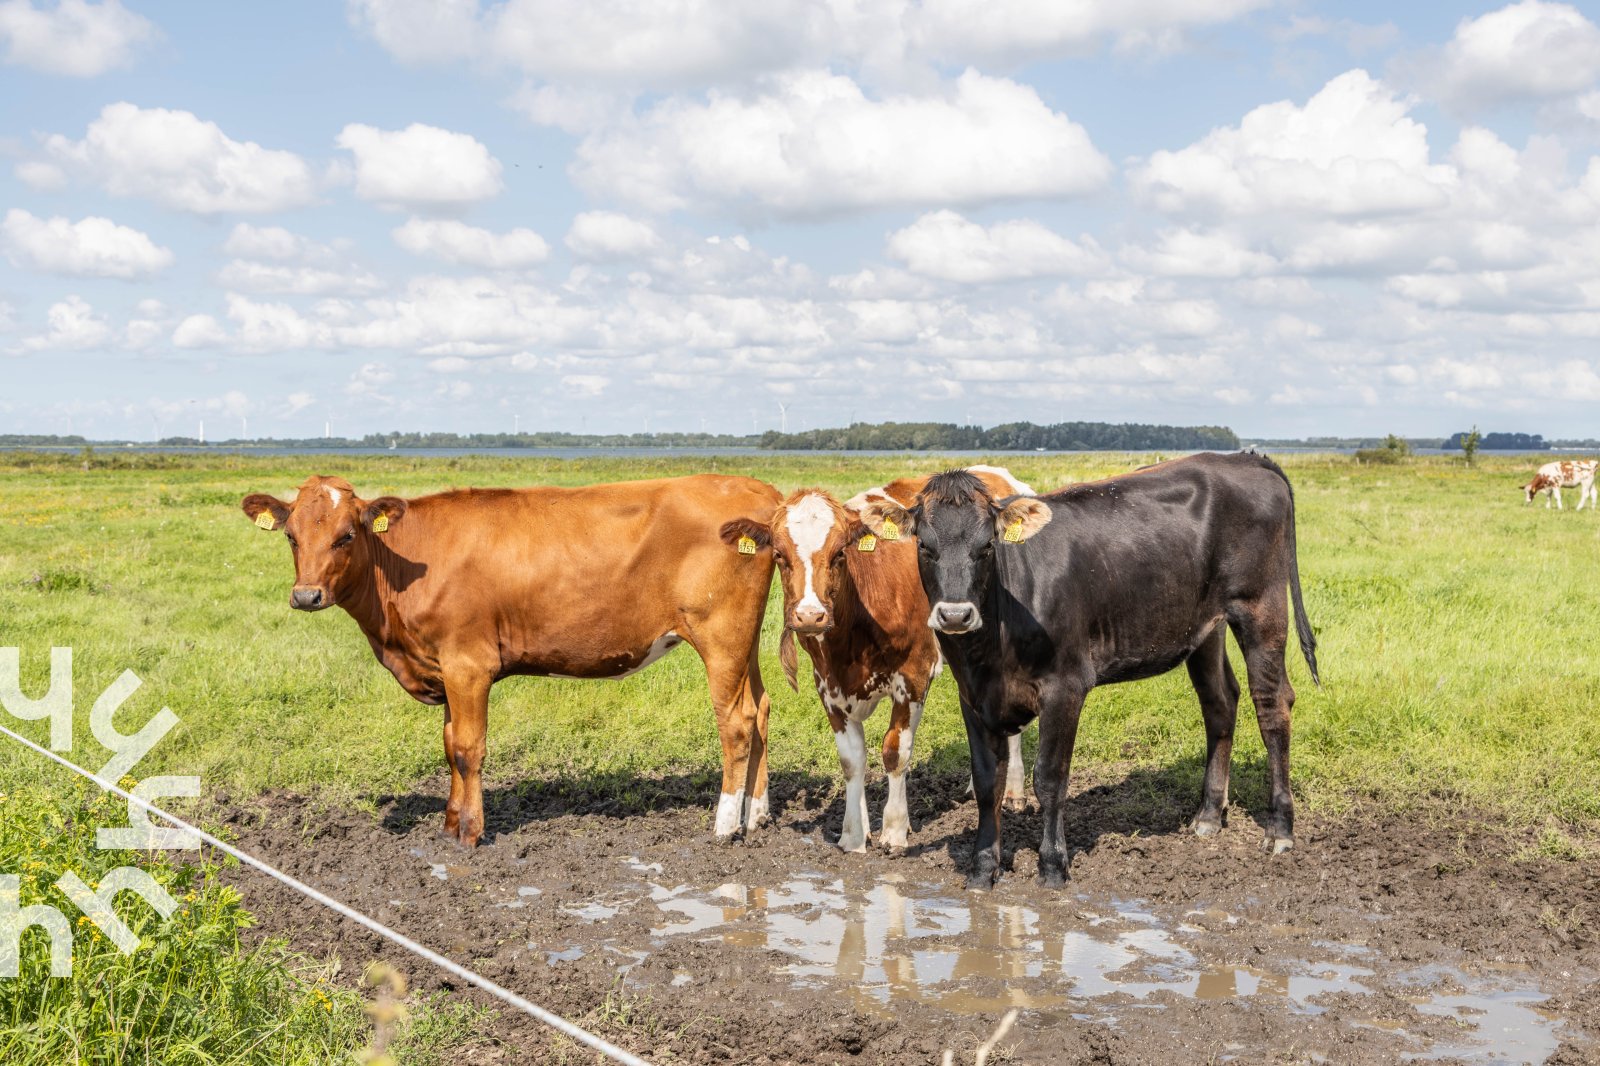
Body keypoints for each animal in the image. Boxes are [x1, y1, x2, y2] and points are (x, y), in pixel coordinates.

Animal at [238, 473, 780, 845]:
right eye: (291, 536)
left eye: (347, 535)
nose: (306, 595)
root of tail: (753, 487)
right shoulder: (445, 669)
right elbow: (448, 745)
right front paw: (449, 823)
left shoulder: (468, 664)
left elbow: (468, 748)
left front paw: (470, 833)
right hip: (745, 642)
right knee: (762, 709)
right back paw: (758, 815)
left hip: (720, 635)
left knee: (735, 721)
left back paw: (725, 826)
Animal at [857, 451, 1318, 889]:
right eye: (924, 546)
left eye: (987, 546)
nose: (955, 615)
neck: (989, 649)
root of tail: (1245, 458)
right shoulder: (972, 695)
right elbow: (987, 782)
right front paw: (983, 869)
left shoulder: (1065, 687)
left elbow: (1050, 778)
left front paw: (1052, 866)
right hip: (1205, 627)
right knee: (1220, 703)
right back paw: (1207, 815)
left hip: (1261, 608)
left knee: (1272, 705)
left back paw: (1279, 829)